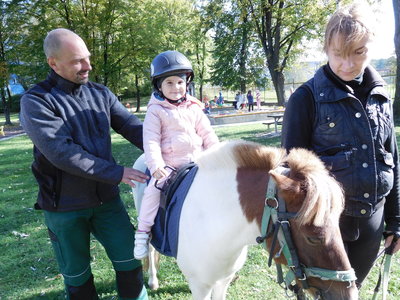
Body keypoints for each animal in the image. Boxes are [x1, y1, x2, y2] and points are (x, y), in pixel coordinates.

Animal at [132, 141, 360, 300]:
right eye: (312, 237)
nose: (349, 294)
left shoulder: (222, 281)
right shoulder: (199, 286)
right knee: (150, 248)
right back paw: (152, 280)